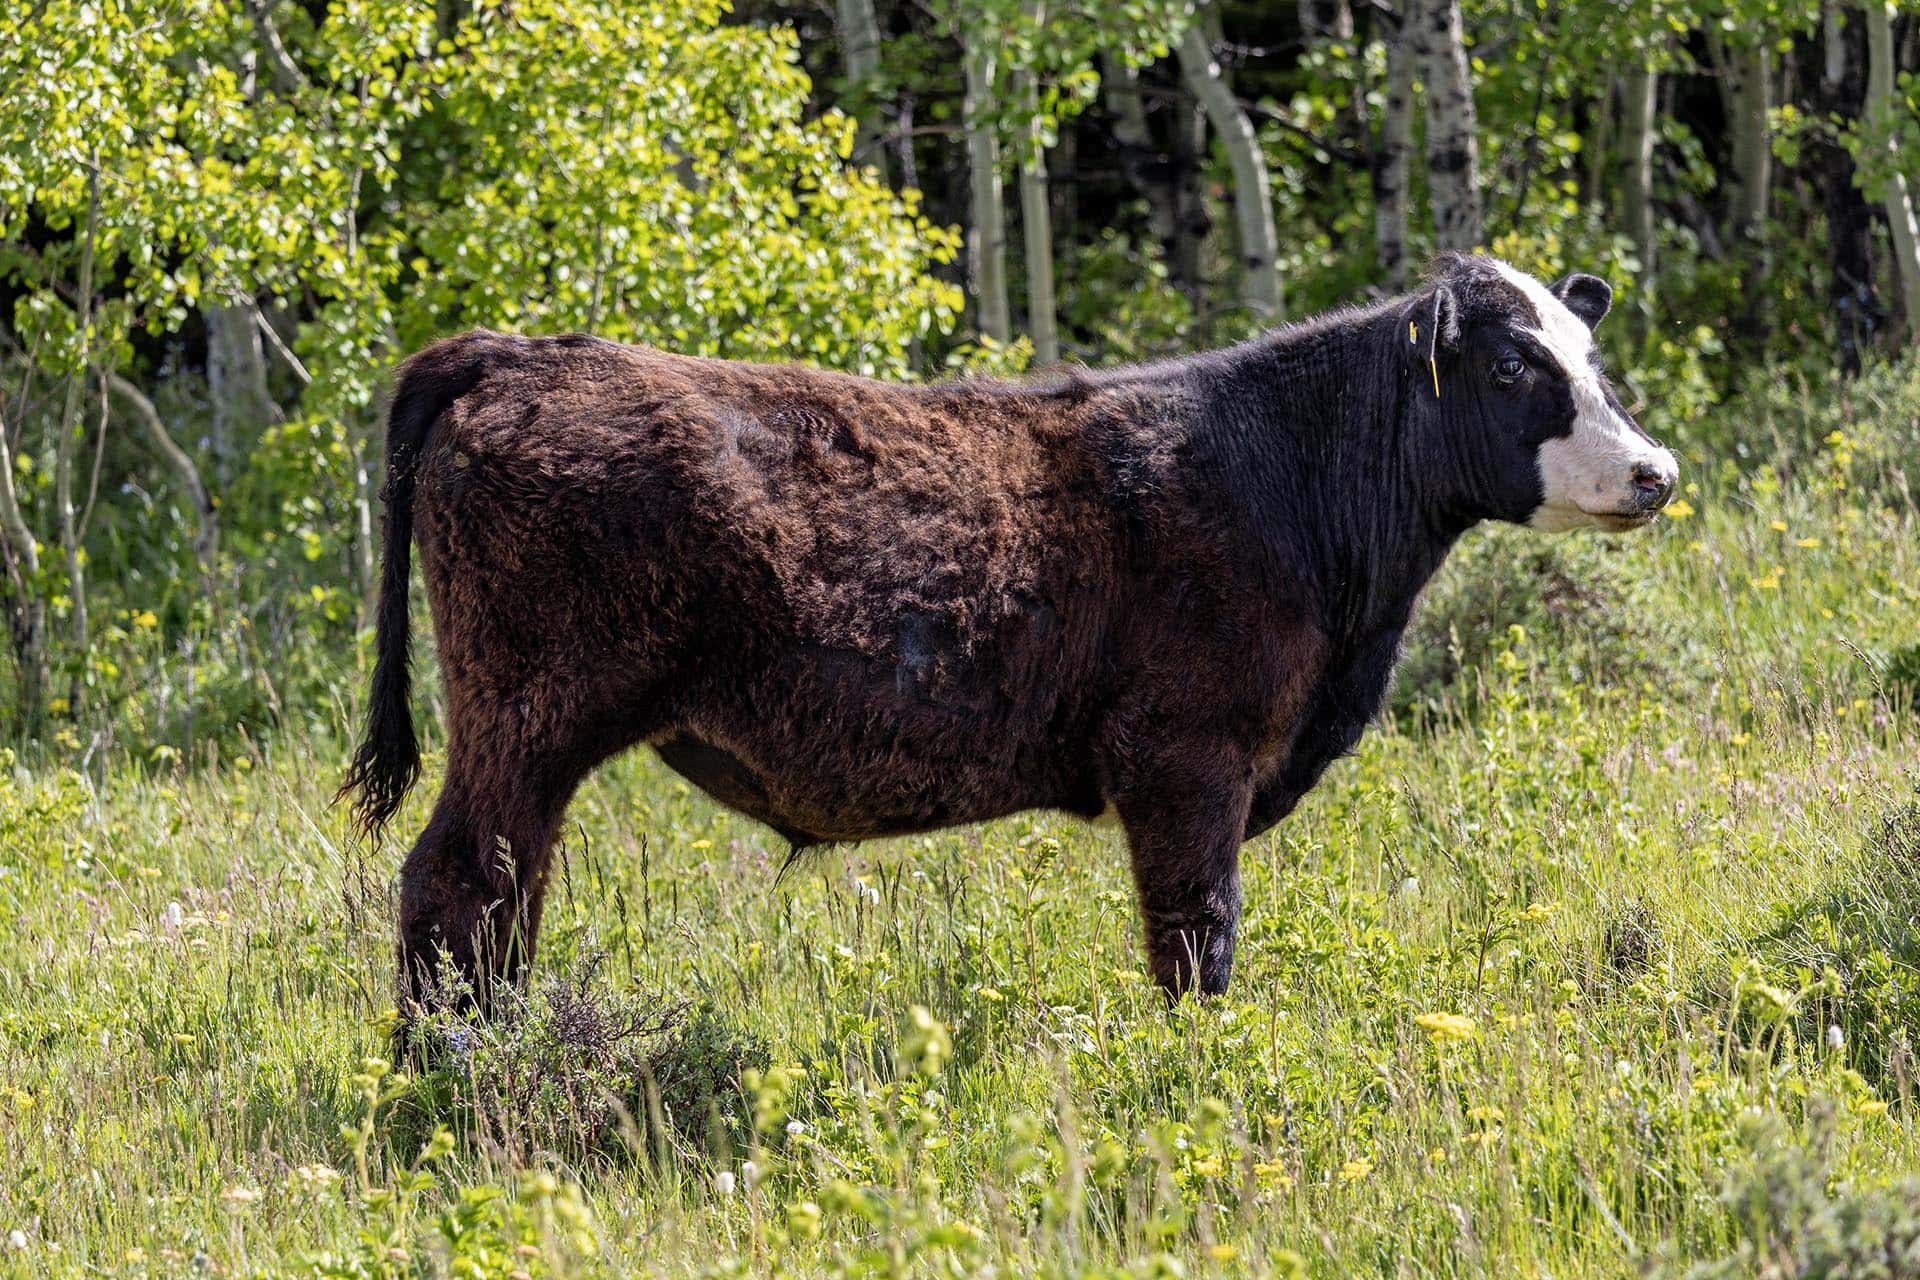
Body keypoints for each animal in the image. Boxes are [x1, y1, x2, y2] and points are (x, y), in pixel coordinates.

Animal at [339, 252, 1677, 1013]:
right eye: (1510, 366)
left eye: (1590, 350)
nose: (1655, 469)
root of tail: (517, 352)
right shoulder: (1186, 759)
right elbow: (1196, 944)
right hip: (524, 716)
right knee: (456, 886)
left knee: (504, 898)